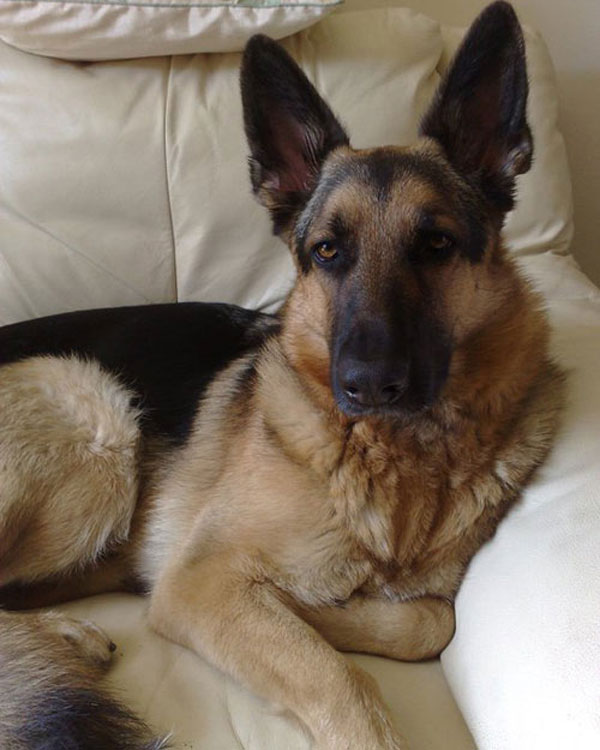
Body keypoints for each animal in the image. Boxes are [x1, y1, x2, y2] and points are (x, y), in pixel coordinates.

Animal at [1, 2, 564, 748]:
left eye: (437, 244)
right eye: (327, 251)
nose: (367, 384)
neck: (395, 455)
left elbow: (430, 618)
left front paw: (322, 609)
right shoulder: (202, 583)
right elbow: (343, 681)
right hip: (96, 413)